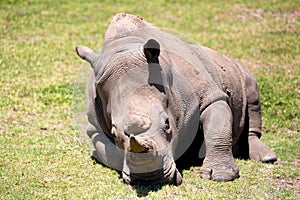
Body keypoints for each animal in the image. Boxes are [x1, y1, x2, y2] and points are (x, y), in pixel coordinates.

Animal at [76, 12, 278, 186]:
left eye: (167, 124)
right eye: (114, 131)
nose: (151, 179)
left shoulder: (211, 97)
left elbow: (217, 130)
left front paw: (221, 176)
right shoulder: (94, 128)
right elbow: (109, 152)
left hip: (234, 67)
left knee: (251, 90)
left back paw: (266, 157)